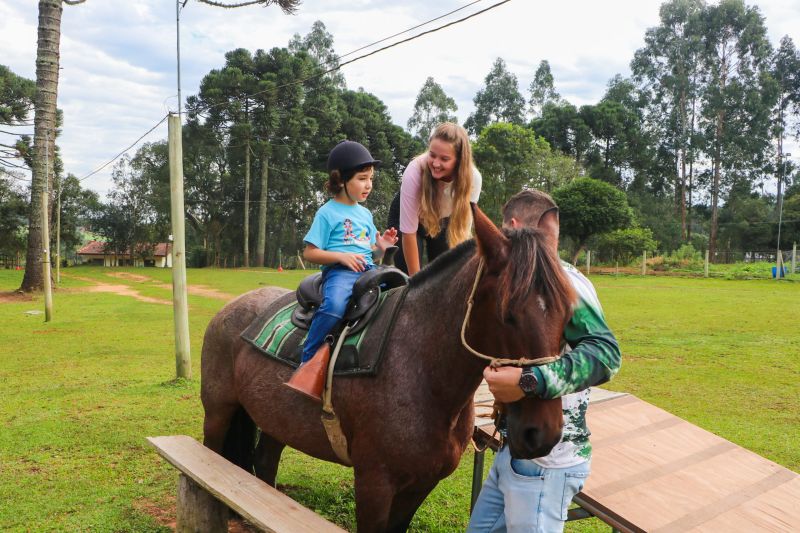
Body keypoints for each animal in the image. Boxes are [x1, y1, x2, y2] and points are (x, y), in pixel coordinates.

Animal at [200, 205, 576, 532]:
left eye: (569, 313)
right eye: (507, 314)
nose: (542, 433)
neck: (421, 374)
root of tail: (230, 310)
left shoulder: (421, 485)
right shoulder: (375, 484)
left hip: (276, 421)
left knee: (264, 464)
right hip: (219, 414)